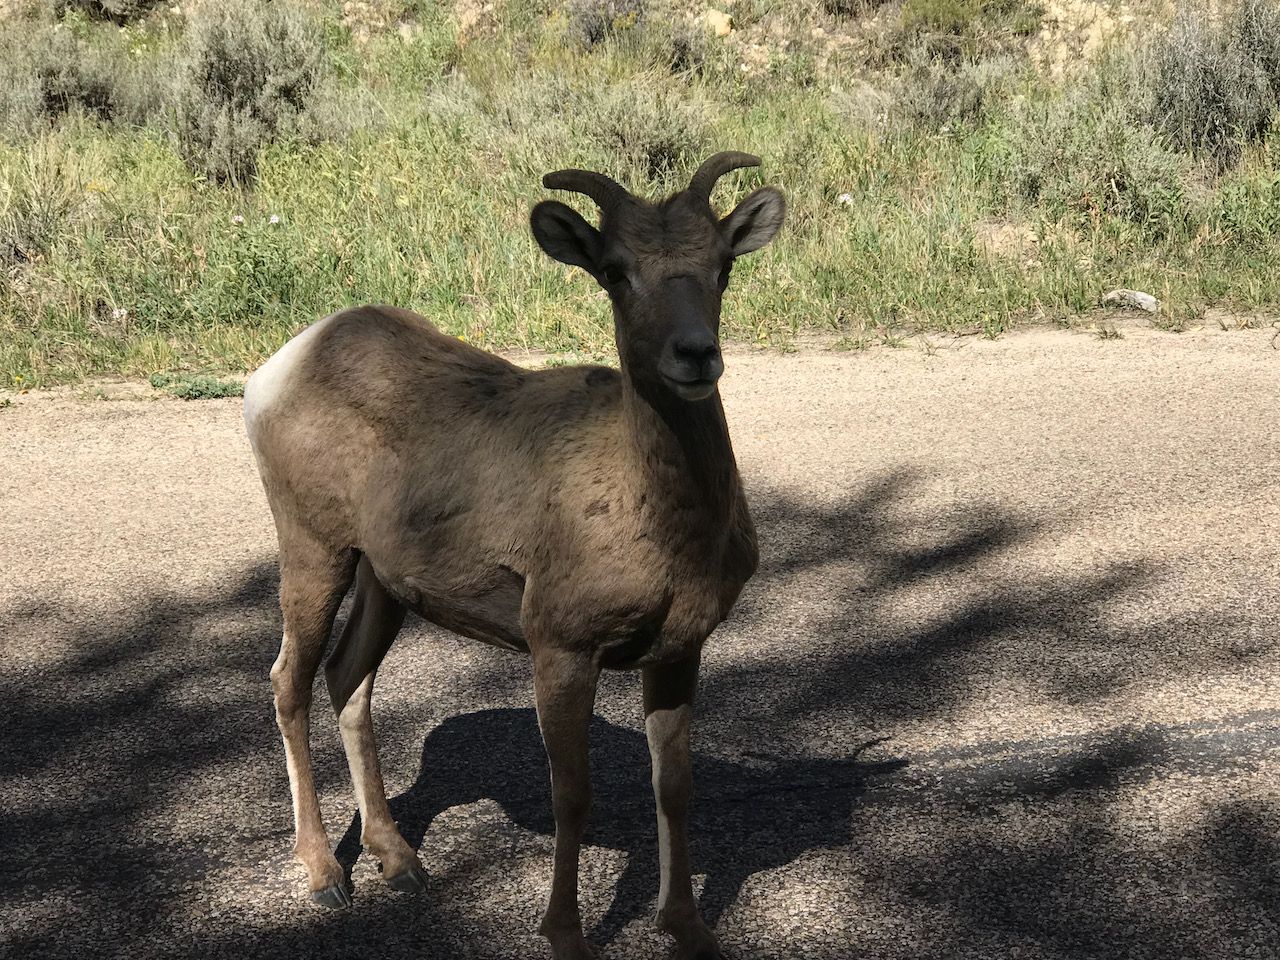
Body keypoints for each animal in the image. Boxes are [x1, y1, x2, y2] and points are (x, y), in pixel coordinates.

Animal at [242, 152, 786, 960]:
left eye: (723, 265)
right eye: (615, 270)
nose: (695, 355)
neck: (662, 521)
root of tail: (277, 370)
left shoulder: (678, 650)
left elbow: (674, 785)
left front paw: (686, 928)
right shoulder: (560, 647)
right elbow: (572, 795)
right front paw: (565, 934)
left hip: (384, 582)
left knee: (348, 680)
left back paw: (400, 862)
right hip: (314, 549)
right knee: (290, 682)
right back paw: (323, 874)